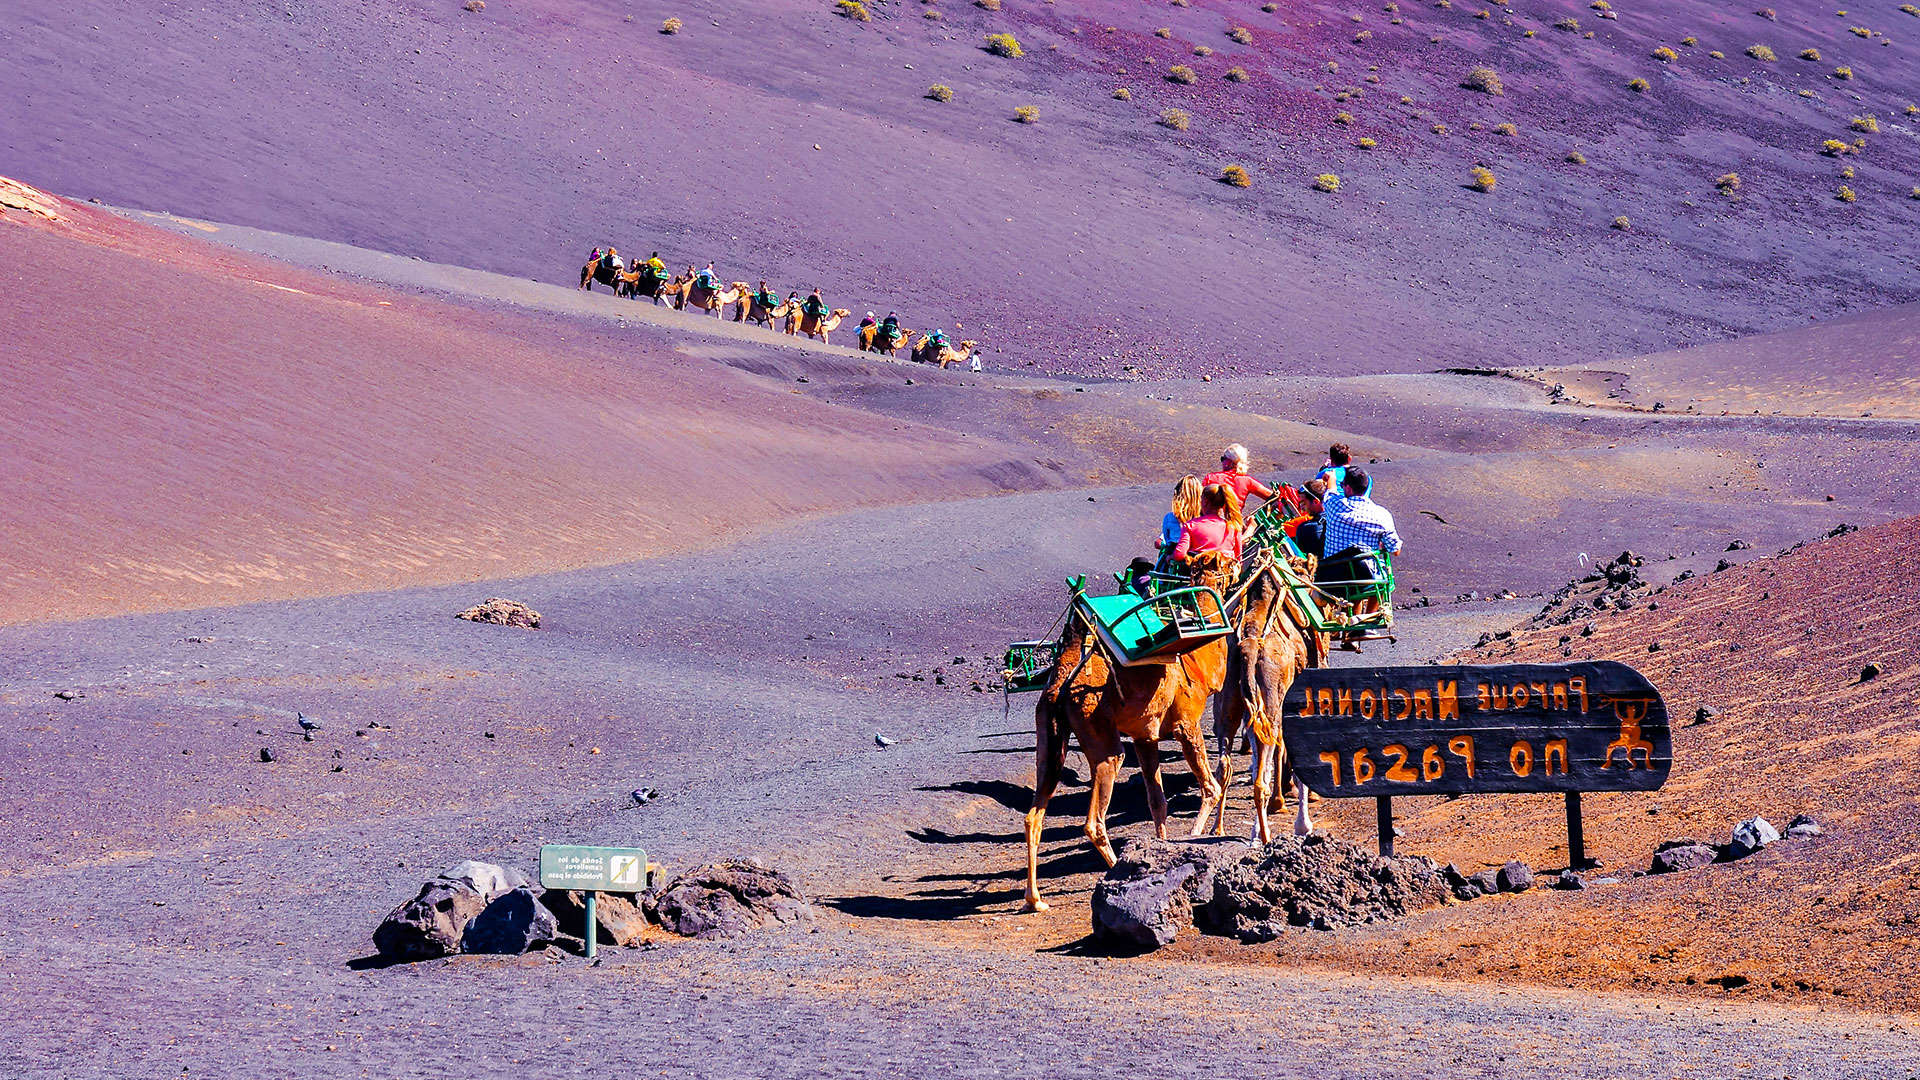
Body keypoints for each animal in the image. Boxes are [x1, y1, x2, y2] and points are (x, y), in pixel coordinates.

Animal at [1029, 545, 1236, 907]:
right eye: (1224, 561)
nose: (1238, 563)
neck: (1198, 659)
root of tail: (1063, 683)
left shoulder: (1144, 737)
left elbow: (1157, 802)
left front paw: (1162, 850)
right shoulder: (1187, 724)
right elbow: (1209, 787)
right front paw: (1193, 837)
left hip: (1050, 736)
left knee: (1034, 816)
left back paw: (1036, 899)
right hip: (1099, 732)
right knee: (1094, 821)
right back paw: (1115, 872)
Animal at [1205, 549, 1328, 845]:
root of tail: (1249, 645)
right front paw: (1301, 821)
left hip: (1229, 702)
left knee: (1225, 766)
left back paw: (1218, 828)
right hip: (1270, 704)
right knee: (1260, 774)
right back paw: (1264, 835)